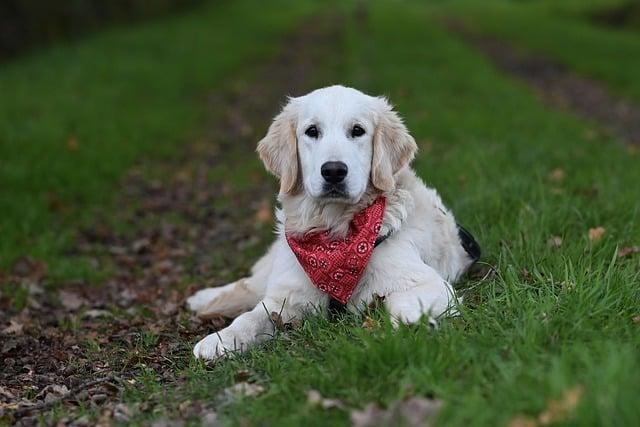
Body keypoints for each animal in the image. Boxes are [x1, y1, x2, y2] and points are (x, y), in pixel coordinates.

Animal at [188, 85, 478, 360]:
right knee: (250, 283)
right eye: (312, 131)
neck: (335, 233)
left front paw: (412, 323)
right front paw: (219, 340)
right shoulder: (288, 297)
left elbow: (403, 299)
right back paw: (201, 298)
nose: (334, 171)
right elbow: (249, 318)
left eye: (358, 131)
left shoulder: (426, 282)